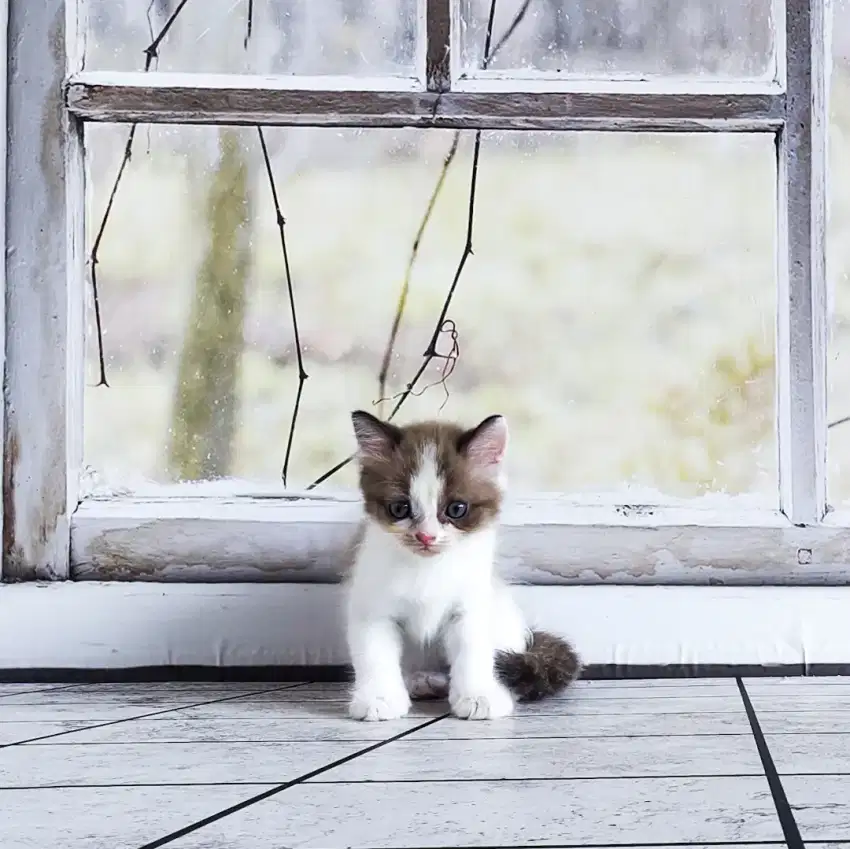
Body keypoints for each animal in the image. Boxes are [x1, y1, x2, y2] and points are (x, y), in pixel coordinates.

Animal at [342, 408, 576, 720]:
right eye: (399, 508)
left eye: (456, 509)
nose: (426, 536)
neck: (427, 569)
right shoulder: (371, 605)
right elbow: (374, 653)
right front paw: (379, 698)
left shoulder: (472, 603)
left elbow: (473, 647)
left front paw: (478, 695)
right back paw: (422, 680)